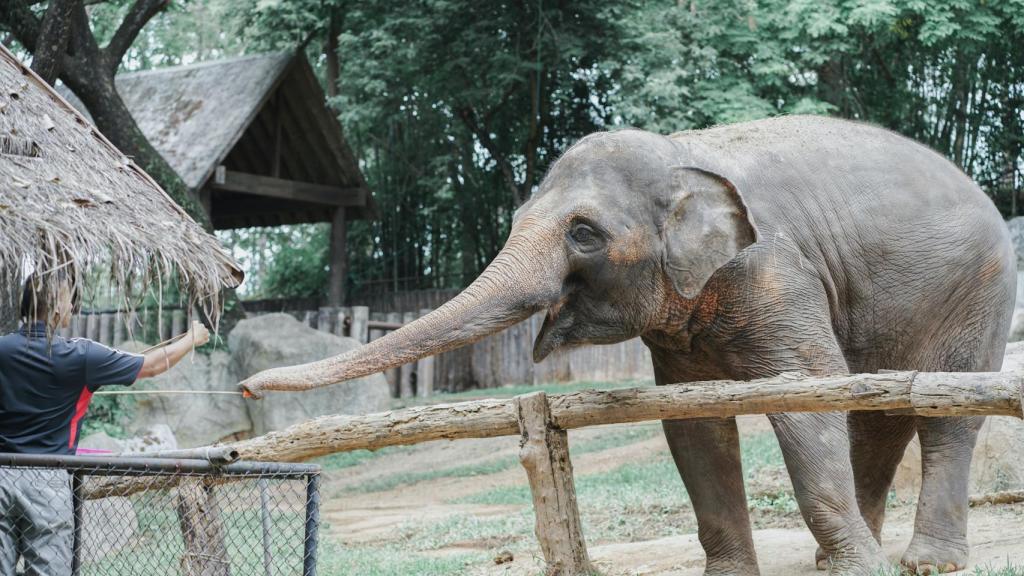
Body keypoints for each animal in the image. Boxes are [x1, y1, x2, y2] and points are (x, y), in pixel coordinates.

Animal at [240, 115, 1016, 575]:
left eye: (584, 233)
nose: (245, 388)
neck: (685, 154)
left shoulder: (773, 269)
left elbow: (802, 394)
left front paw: (860, 568)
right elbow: (694, 426)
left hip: (981, 292)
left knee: (944, 414)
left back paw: (921, 563)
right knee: (878, 416)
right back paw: (848, 558)